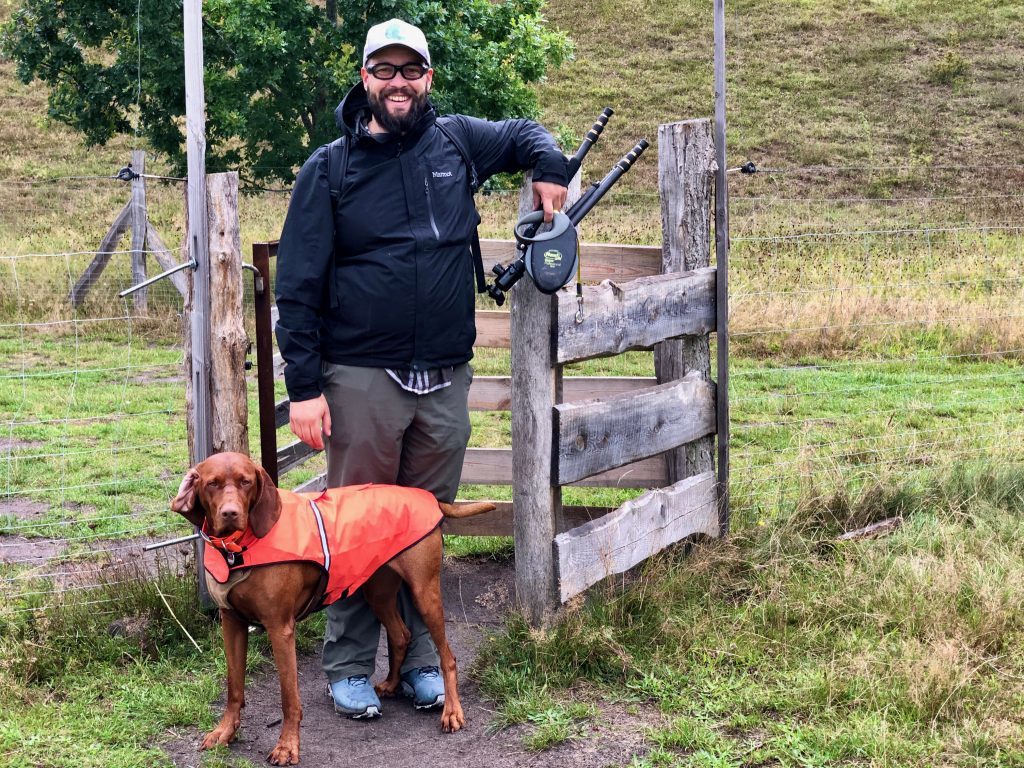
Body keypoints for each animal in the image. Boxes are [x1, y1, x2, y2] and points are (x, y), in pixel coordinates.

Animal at [171, 454, 495, 765]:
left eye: (245, 482)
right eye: (212, 483)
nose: (230, 514)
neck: (237, 551)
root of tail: (428, 497)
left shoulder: (280, 628)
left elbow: (289, 698)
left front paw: (287, 747)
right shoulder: (232, 622)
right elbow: (234, 687)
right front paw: (224, 732)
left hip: (424, 592)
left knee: (448, 656)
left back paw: (452, 711)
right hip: (378, 591)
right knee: (401, 634)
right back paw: (391, 684)